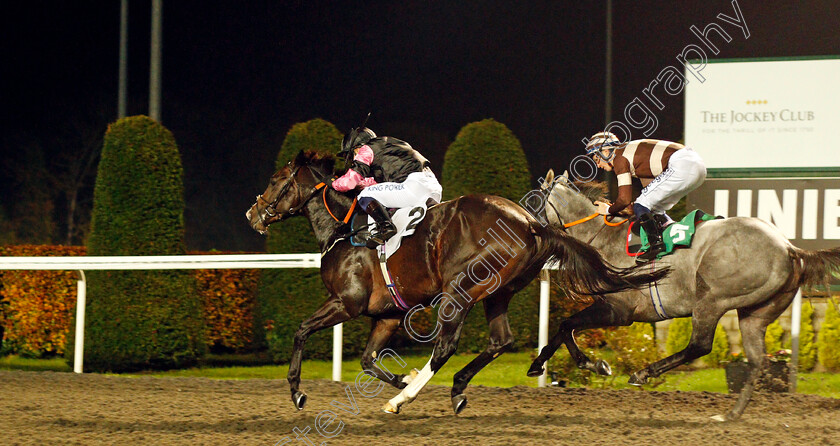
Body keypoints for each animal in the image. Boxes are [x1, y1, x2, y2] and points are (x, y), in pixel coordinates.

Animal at [246, 152, 668, 414]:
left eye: (275, 179)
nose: (253, 213)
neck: (345, 230)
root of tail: (530, 223)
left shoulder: (345, 303)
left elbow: (301, 331)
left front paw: (297, 392)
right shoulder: (386, 315)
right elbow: (367, 360)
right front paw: (402, 376)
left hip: (460, 291)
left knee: (447, 345)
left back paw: (405, 400)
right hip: (498, 293)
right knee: (500, 341)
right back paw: (457, 389)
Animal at [528, 169, 836, 420]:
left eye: (534, 202)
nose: (529, 230)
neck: (603, 239)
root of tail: (788, 248)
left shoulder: (619, 310)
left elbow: (566, 325)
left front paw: (586, 365)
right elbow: (566, 328)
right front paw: (546, 365)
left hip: (711, 298)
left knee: (700, 346)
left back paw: (643, 373)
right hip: (756, 313)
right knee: (758, 361)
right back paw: (731, 414)